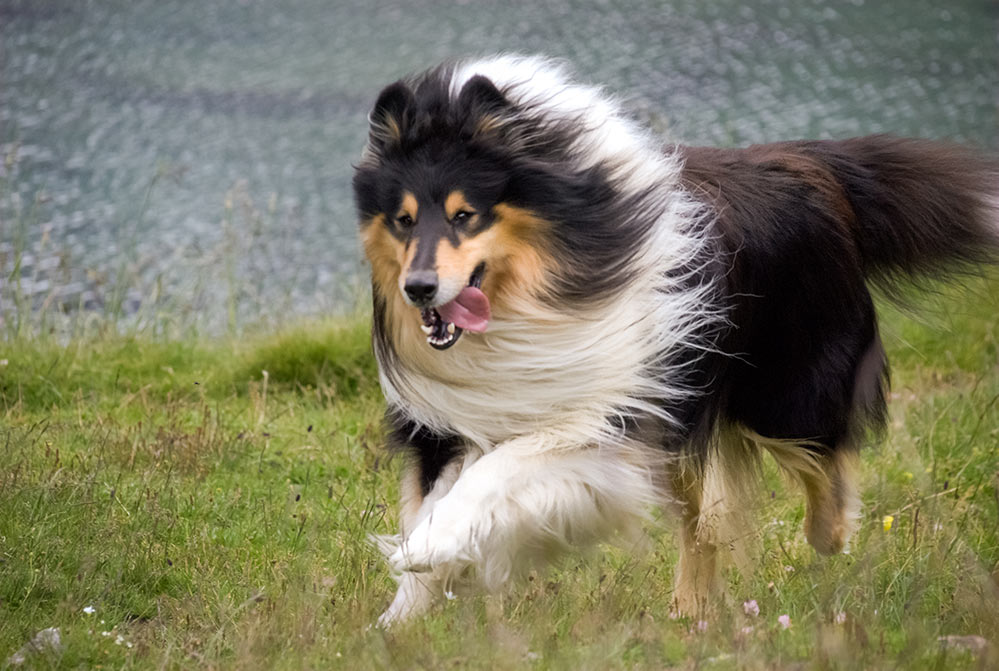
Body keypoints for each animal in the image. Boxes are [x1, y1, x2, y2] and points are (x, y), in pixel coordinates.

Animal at [352, 53, 992, 624]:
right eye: (403, 219)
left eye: (466, 215)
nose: (418, 289)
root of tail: (809, 162)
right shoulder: (449, 426)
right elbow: (441, 496)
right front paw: (400, 618)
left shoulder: (609, 415)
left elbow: (502, 469)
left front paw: (425, 550)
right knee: (702, 524)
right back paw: (690, 613)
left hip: (782, 394)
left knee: (821, 466)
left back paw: (826, 537)